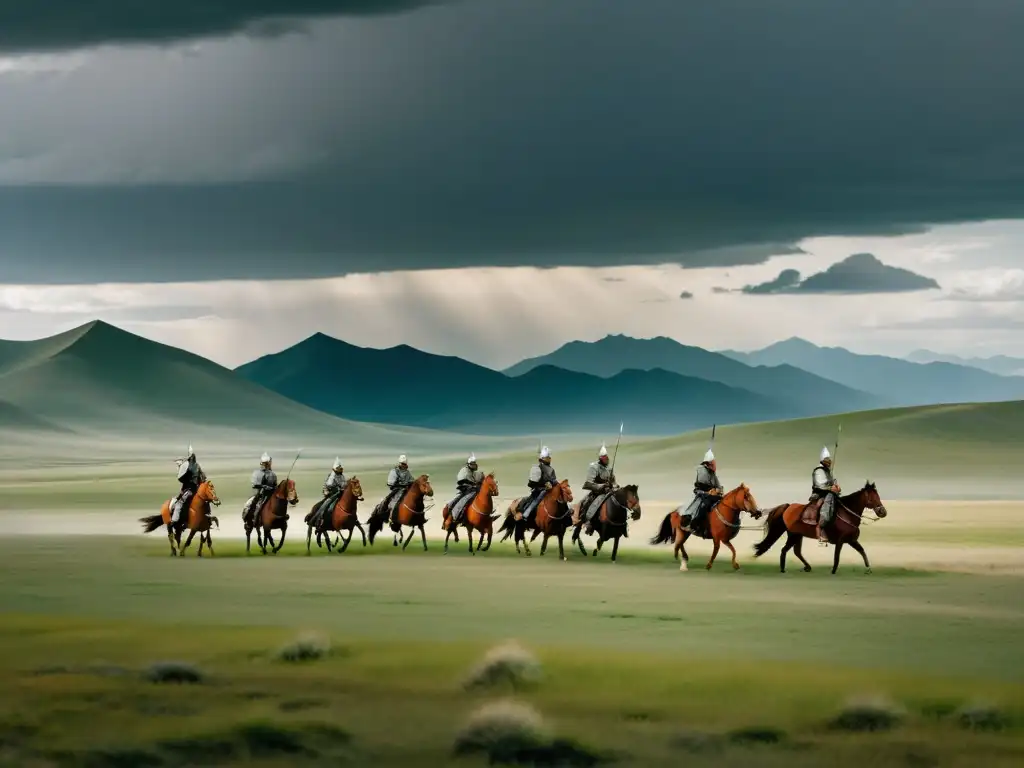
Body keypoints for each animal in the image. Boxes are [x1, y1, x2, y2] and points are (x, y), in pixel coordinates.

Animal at [753, 483, 888, 573]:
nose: (883, 512)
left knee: (796, 551)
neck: (847, 514)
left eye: (878, 495)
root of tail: (786, 507)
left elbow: (862, 551)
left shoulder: (851, 540)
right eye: (872, 497)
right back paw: (783, 570)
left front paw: (868, 568)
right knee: (785, 550)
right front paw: (833, 571)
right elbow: (837, 557)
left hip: (797, 535)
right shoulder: (840, 541)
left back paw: (806, 567)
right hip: (793, 535)